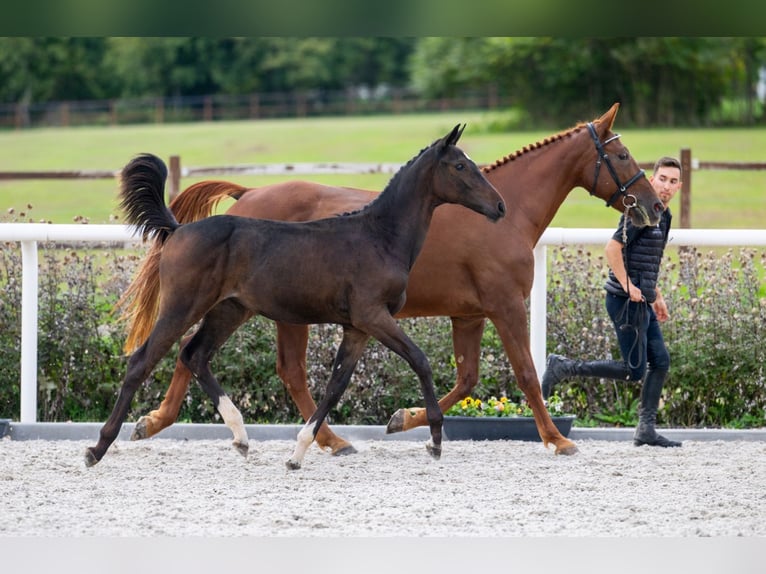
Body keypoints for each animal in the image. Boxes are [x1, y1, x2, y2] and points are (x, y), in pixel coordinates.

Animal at [87, 125, 508, 468]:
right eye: (460, 166)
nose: (500, 206)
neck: (379, 237)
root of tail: (177, 230)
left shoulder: (358, 328)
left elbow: (336, 385)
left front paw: (300, 451)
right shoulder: (374, 316)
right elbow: (420, 360)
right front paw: (434, 440)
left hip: (229, 310)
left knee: (194, 354)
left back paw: (241, 437)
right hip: (183, 305)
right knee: (142, 361)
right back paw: (98, 448)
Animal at [121, 101, 664, 456]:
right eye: (621, 156)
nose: (655, 207)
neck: (502, 215)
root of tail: (247, 196)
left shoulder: (469, 315)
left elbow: (466, 377)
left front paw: (405, 420)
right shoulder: (506, 305)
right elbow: (527, 374)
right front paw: (556, 438)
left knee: (207, 355)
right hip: (267, 311)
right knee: (257, 364)